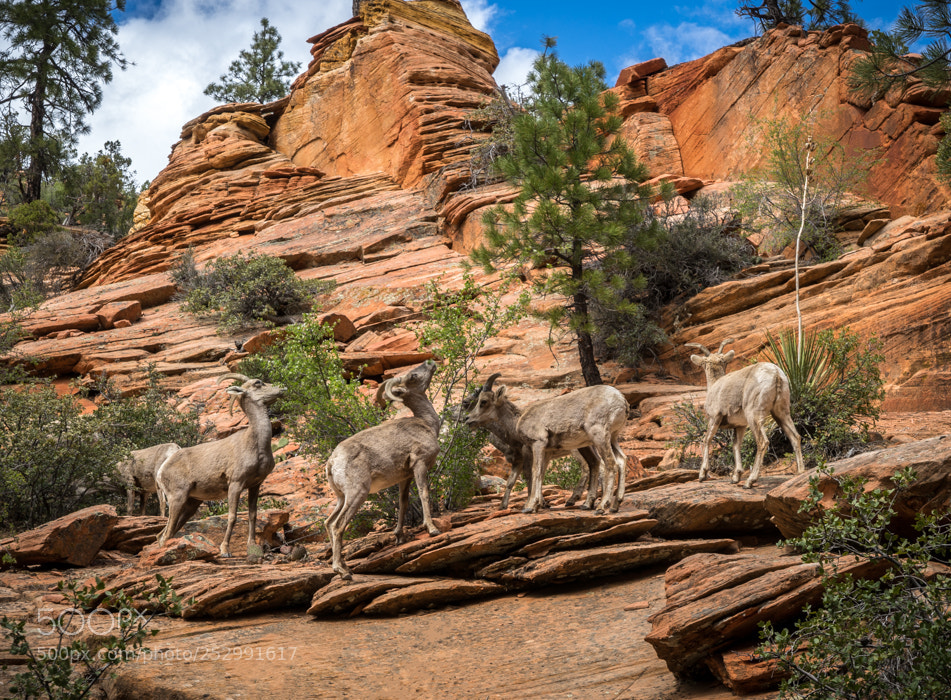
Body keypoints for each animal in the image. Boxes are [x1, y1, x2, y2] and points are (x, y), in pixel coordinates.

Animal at [155, 373, 285, 557]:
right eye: (257, 383)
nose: (282, 389)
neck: (256, 445)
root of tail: (160, 471)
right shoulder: (235, 484)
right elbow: (232, 516)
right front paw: (225, 550)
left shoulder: (255, 485)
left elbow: (252, 515)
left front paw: (252, 546)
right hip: (177, 499)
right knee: (165, 535)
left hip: (191, 504)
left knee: (164, 534)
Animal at [325, 359, 442, 580]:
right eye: (413, 376)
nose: (430, 363)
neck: (427, 424)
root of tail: (332, 462)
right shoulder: (420, 464)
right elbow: (424, 494)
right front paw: (432, 529)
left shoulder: (404, 478)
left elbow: (403, 504)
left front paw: (399, 538)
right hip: (357, 494)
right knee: (337, 526)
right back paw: (342, 572)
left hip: (341, 498)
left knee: (328, 523)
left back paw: (346, 567)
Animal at [464, 380, 629, 514]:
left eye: (483, 401)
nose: (467, 419)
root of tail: (621, 401)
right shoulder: (545, 452)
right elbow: (539, 474)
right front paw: (537, 505)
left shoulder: (536, 445)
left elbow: (534, 473)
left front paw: (530, 506)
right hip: (610, 438)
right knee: (619, 460)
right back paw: (612, 506)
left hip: (598, 437)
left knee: (610, 464)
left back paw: (600, 507)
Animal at [687, 338, 805, 488]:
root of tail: (776, 374)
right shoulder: (740, 426)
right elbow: (736, 446)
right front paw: (735, 477)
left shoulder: (714, 418)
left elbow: (706, 440)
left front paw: (702, 475)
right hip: (781, 413)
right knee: (795, 437)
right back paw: (800, 472)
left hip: (753, 415)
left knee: (763, 442)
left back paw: (750, 481)